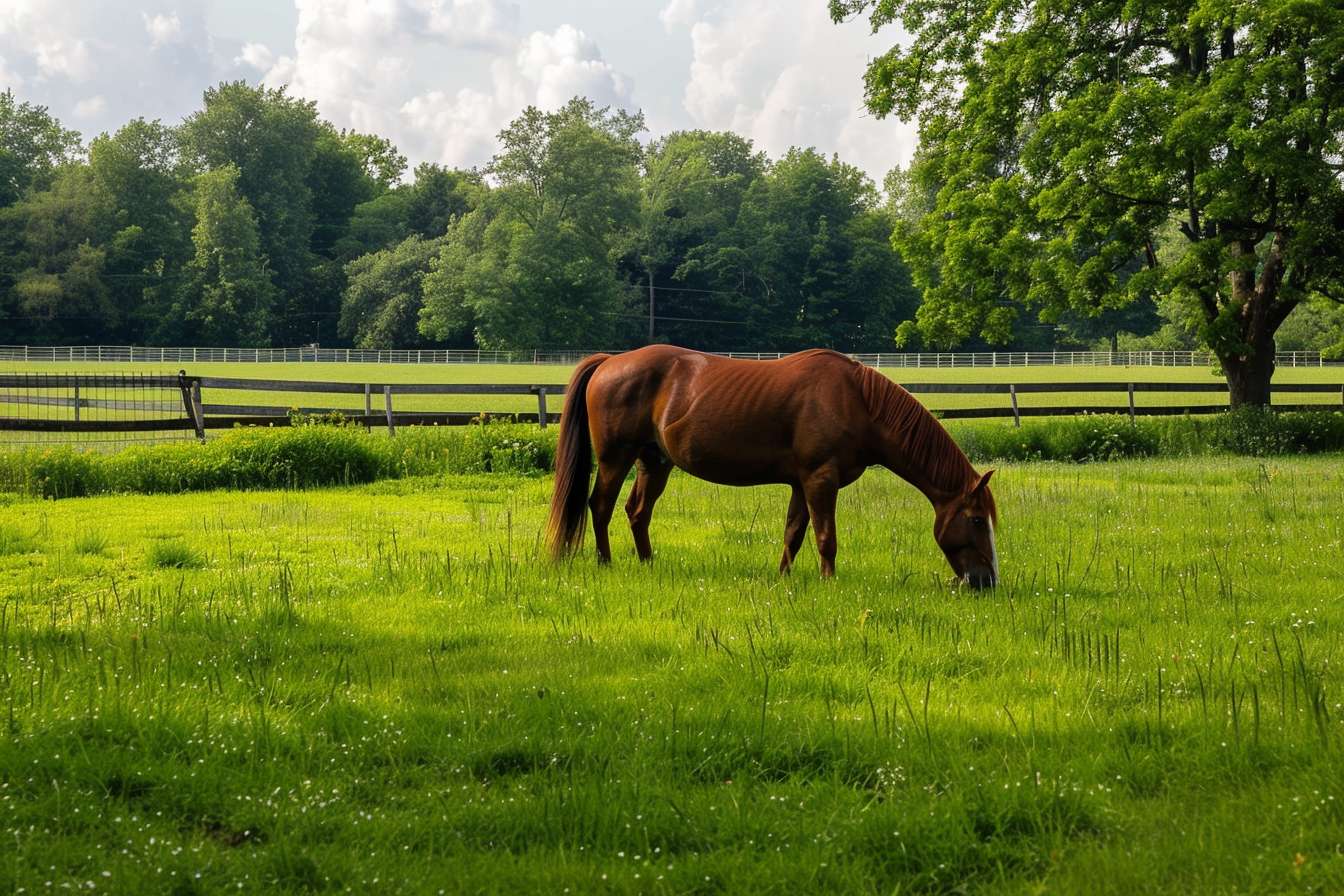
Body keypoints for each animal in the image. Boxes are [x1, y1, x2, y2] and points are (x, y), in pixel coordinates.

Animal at [545, 345, 998, 587]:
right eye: (977, 520)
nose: (986, 582)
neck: (858, 401)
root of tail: (611, 361)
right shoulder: (821, 479)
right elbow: (825, 537)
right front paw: (829, 583)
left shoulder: (802, 484)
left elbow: (793, 535)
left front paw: (784, 579)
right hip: (615, 458)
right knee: (601, 507)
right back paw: (606, 564)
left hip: (654, 463)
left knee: (637, 512)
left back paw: (647, 563)